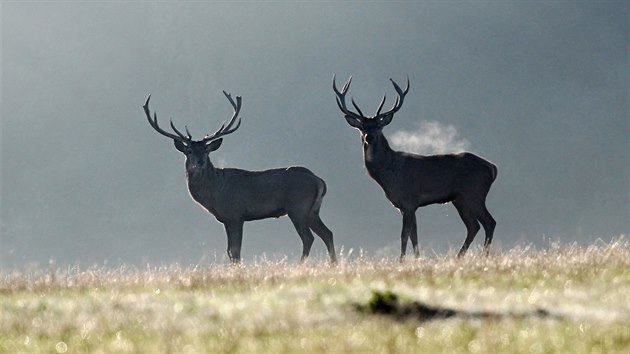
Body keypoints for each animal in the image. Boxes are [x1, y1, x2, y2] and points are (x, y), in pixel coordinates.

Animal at [144, 91, 338, 262]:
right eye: (189, 150)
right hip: (313, 210)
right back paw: (333, 264)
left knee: (308, 238)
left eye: (206, 150)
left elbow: (234, 250)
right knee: (328, 233)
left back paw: (301, 265)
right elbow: (230, 251)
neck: (215, 193)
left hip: (298, 207)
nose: (199, 162)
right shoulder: (228, 219)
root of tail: (319, 180)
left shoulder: (235, 215)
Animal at [336, 76, 498, 260]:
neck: (390, 173)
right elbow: (414, 235)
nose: (369, 137)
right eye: (362, 127)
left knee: (489, 222)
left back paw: (484, 256)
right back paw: (459, 256)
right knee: (473, 226)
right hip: (460, 199)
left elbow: (404, 234)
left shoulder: (409, 200)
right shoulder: (405, 205)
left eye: (378, 125)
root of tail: (493, 168)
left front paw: (401, 260)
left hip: (474, 193)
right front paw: (417, 258)